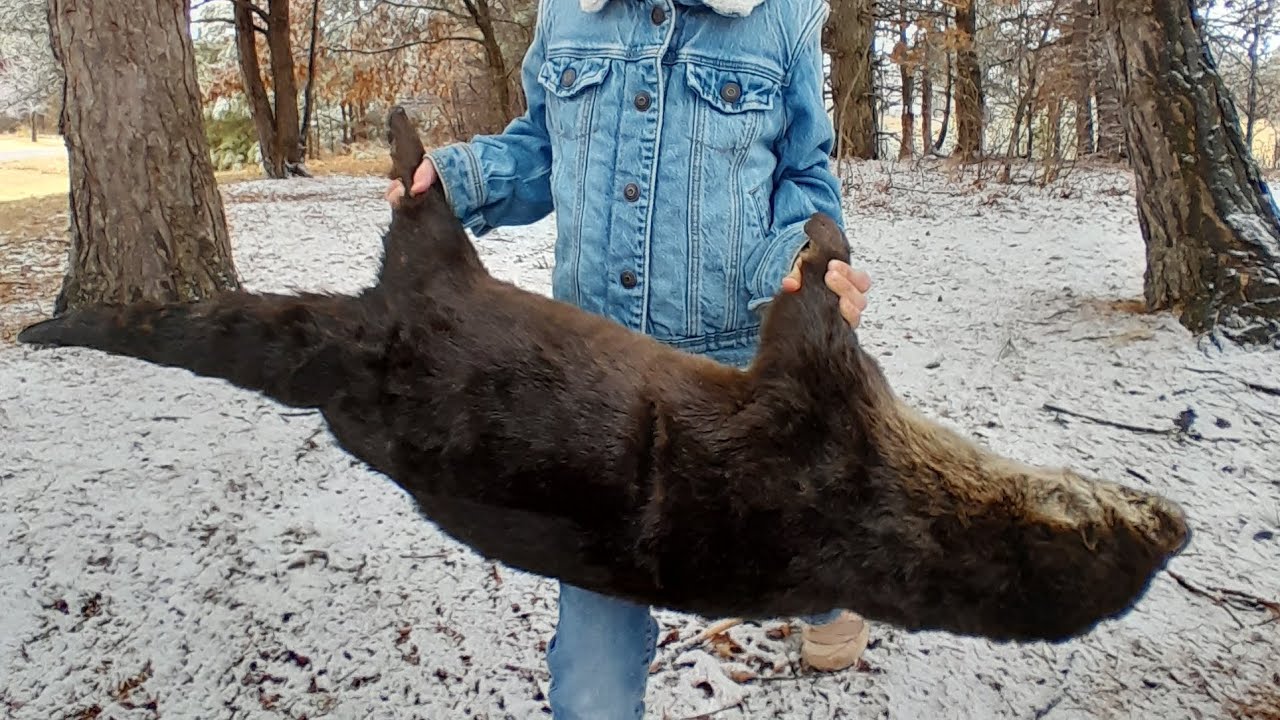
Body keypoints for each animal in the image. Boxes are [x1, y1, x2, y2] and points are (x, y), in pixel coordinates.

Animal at [17, 107, 1190, 645]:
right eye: (1138, 515)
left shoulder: (821, 400)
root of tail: (353, 349)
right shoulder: (836, 406)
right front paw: (826, 235)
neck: (882, 508)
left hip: (427, 286)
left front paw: (819, 243)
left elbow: (803, 310)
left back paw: (406, 147)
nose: (1177, 522)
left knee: (412, 222)